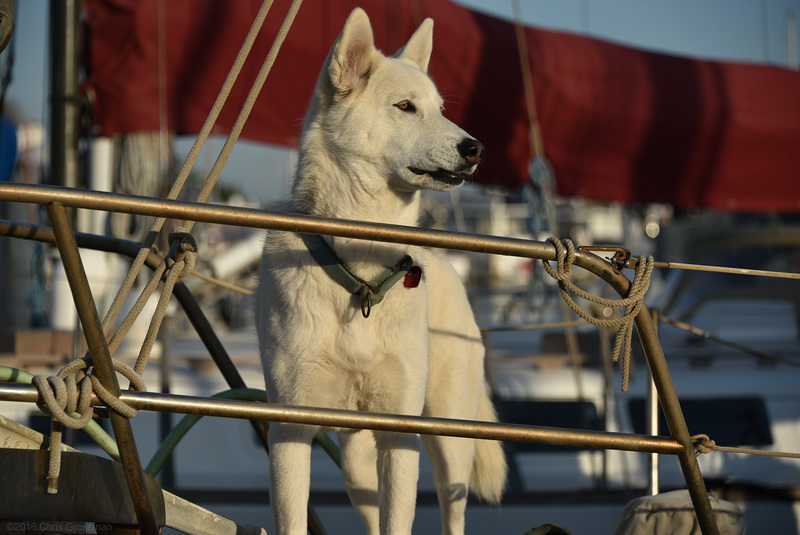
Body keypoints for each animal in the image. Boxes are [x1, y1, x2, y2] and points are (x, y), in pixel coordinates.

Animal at [256, 8, 506, 535]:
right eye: (405, 107)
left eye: (440, 109)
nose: (476, 147)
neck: (361, 270)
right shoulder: (290, 429)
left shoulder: (401, 433)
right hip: (354, 461)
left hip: (449, 440)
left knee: (453, 510)